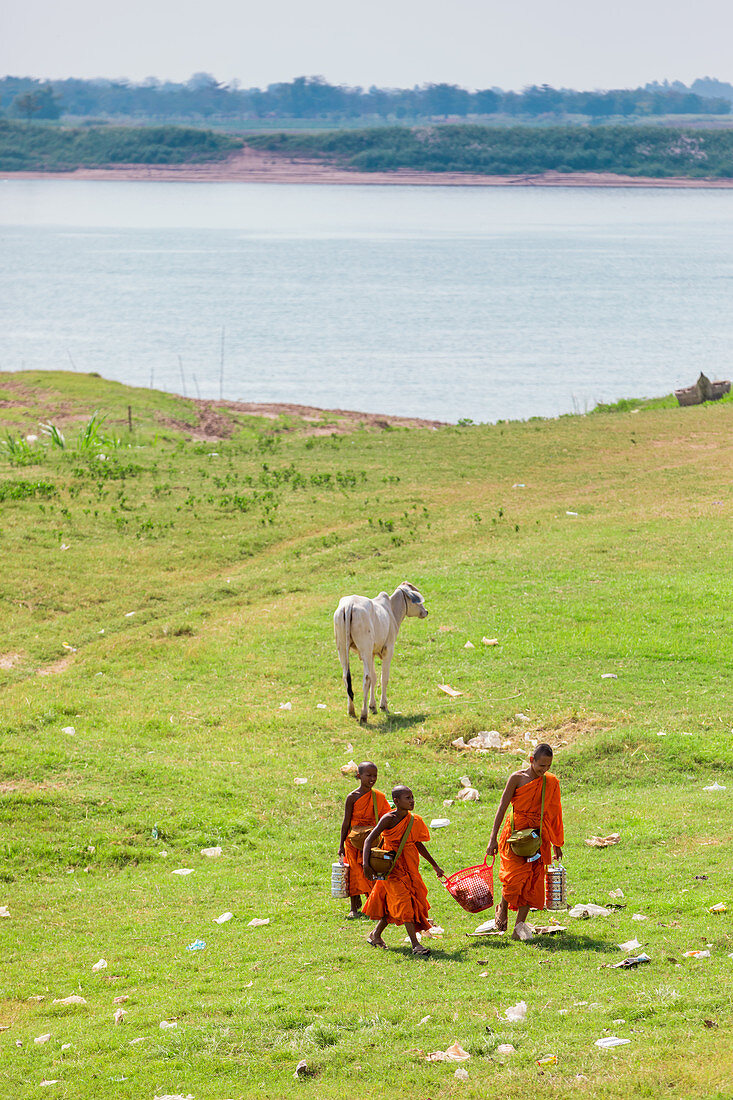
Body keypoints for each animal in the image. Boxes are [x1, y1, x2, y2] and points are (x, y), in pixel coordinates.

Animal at [332, 580, 429, 726]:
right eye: (416, 596)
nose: (426, 611)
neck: (391, 611)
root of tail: (349, 605)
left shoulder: (372, 653)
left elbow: (375, 677)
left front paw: (373, 706)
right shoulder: (388, 650)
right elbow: (384, 677)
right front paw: (383, 706)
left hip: (343, 647)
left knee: (346, 677)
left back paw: (351, 711)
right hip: (364, 648)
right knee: (366, 678)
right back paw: (363, 715)